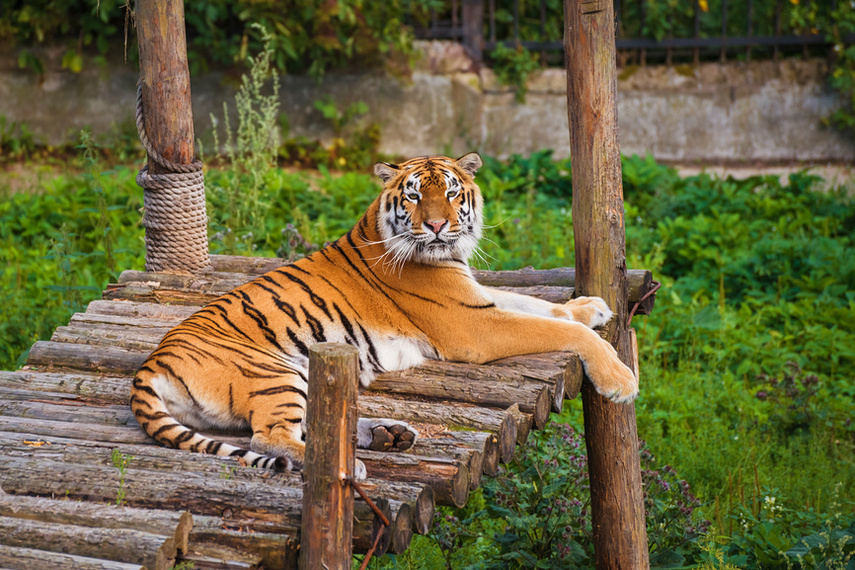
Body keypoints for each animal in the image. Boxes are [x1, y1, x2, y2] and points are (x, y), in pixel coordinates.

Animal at [130, 151, 640, 474]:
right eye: (414, 197)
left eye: (451, 194)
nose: (436, 226)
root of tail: (150, 366)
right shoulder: (473, 324)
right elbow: (559, 331)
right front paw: (620, 381)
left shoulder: (476, 298)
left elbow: (539, 307)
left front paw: (590, 306)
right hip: (275, 372)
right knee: (267, 435)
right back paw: (352, 464)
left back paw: (385, 435)